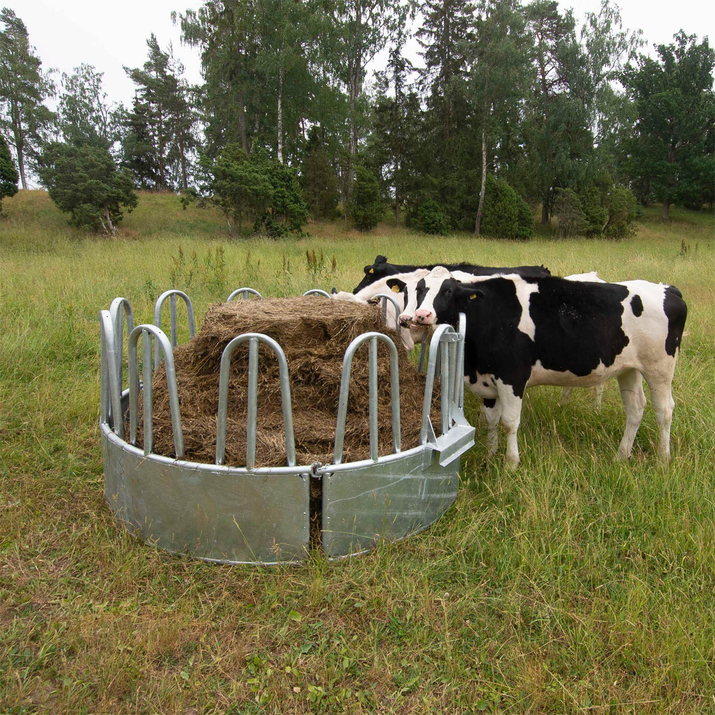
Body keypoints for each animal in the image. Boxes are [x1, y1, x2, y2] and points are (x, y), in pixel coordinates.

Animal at [414, 266, 688, 468]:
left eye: (448, 291)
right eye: (419, 289)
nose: (421, 315)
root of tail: (668, 288)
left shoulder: (512, 377)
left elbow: (509, 422)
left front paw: (511, 463)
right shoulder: (487, 380)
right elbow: (492, 420)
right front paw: (491, 453)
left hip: (660, 368)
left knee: (664, 410)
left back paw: (663, 459)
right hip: (629, 369)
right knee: (635, 409)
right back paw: (621, 455)